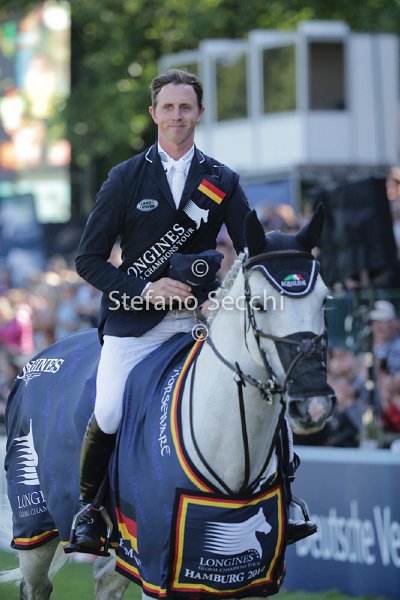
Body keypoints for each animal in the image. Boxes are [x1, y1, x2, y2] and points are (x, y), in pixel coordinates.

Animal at [1, 206, 335, 600]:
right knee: (35, 583)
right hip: (34, 523)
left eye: (324, 301)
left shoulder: (247, 578)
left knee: (105, 579)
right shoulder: (159, 570)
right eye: (259, 304)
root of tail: (39, 359)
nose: (313, 405)